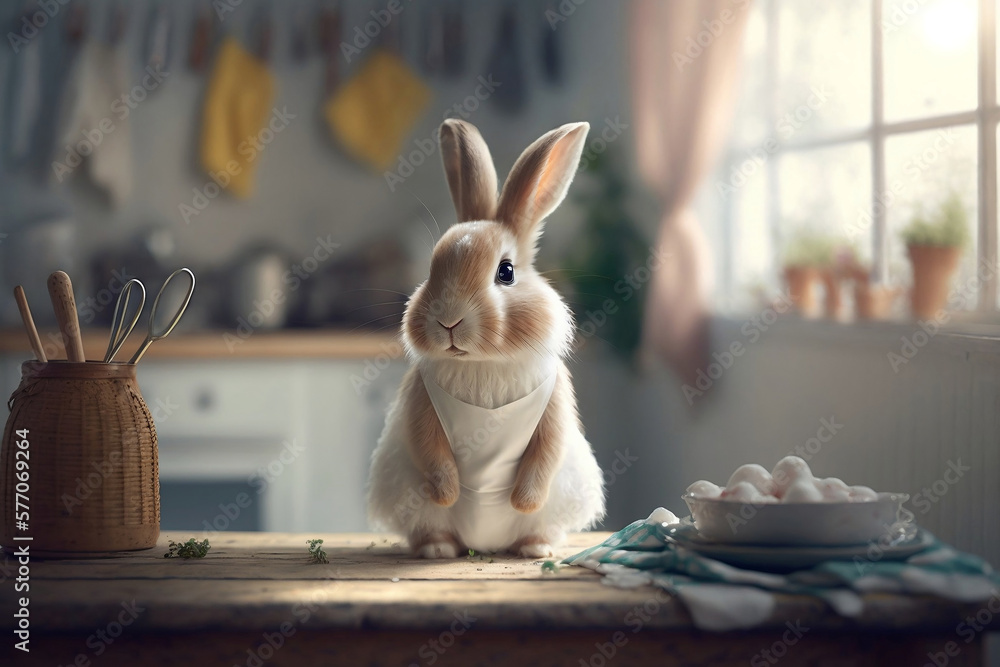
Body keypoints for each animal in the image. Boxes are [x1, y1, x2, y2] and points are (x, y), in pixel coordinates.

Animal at [367, 119, 606, 559]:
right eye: (431, 269)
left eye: (506, 272)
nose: (448, 320)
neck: (482, 363)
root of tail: (484, 544)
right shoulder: (419, 401)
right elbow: (429, 447)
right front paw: (447, 493)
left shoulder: (556, 401)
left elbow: (548, 449)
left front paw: (523, 501)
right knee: (431, 526)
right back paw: (438, 549)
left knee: (539, 523)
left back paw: (536, 549)